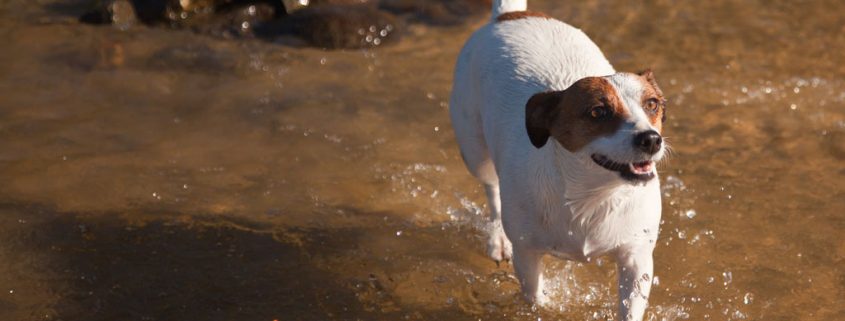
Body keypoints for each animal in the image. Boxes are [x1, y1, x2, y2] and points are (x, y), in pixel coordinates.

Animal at [448, 1, 664, 318]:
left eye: (652, 104)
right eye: (598, 112)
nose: (651, 139)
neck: (591, 196)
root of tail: (508, 16)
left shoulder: (636, 258)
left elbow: (630, 307)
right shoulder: (527, 254)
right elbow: (535, 297)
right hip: (474, 151)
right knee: (491, 189)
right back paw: (498, 237)